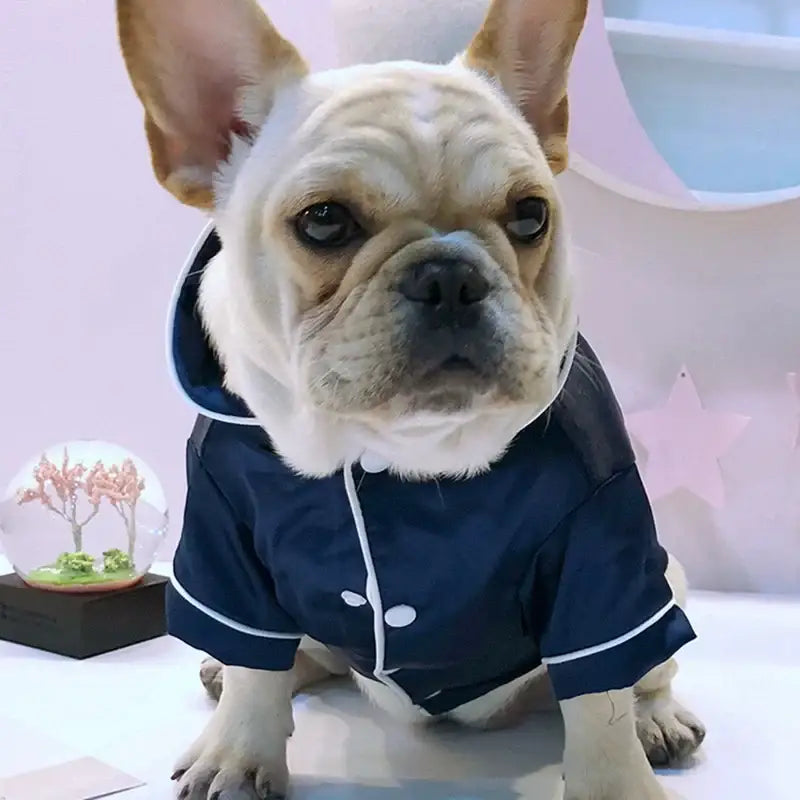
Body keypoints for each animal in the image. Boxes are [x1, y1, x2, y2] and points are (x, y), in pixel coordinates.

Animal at [115, 1, 704, 800]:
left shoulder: (601, 554)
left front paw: (616, 784)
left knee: (644, 673)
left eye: (530, 215)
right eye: (324, 221)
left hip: (666, 578)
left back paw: (659, 719)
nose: (450, 274)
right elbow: (252, 666)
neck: (392, 447)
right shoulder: (223, 539)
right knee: (288, 656)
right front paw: (237, 754)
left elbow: (599, 701)